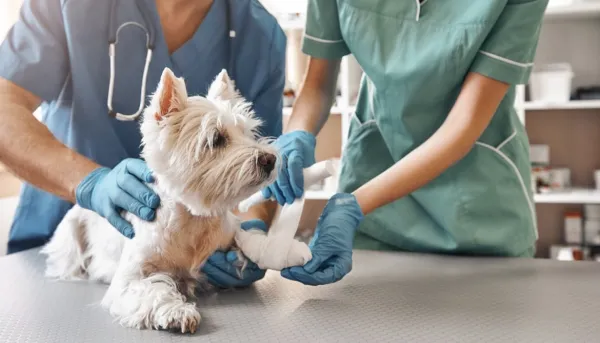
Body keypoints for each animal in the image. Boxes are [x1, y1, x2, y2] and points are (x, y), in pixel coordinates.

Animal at [39, 67, 278, 334]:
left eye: (247, 132)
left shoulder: (228, 235)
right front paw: (178, 312)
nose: (270, 159)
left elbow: (246, 242)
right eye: (216, 139)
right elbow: (154, 291)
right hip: (70, 236)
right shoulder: (130, 278)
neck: (194, 221)